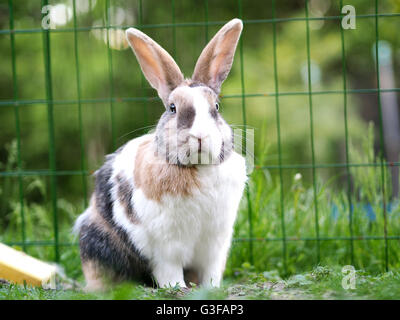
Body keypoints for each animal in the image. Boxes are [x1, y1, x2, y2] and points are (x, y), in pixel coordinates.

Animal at [73, 18, 245, 292]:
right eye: (172, 108)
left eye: (216, 108)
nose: (200, 136)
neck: (198, 169)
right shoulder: (165, 247)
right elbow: (169, 271)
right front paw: (177, 288)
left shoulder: (215, 244)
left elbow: (211, 271)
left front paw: (211, 289)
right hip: (96, 244)